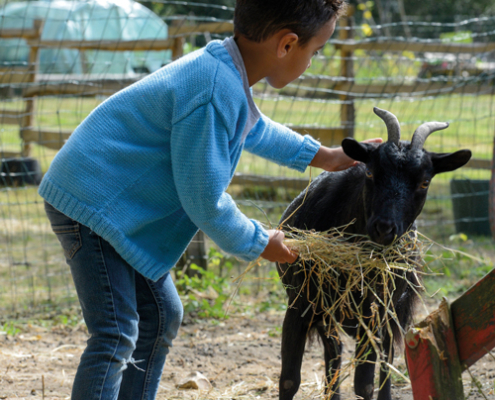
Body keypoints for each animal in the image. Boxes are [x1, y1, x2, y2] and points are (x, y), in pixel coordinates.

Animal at [280, 107, 472, 400]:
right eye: (370, 172)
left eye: (425, 182)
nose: (384, 228)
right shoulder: (300, 303)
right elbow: (290, 380)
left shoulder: (377, 311)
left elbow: (365, 383)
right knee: (334, 353)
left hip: (391, 312)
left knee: (385, 360)